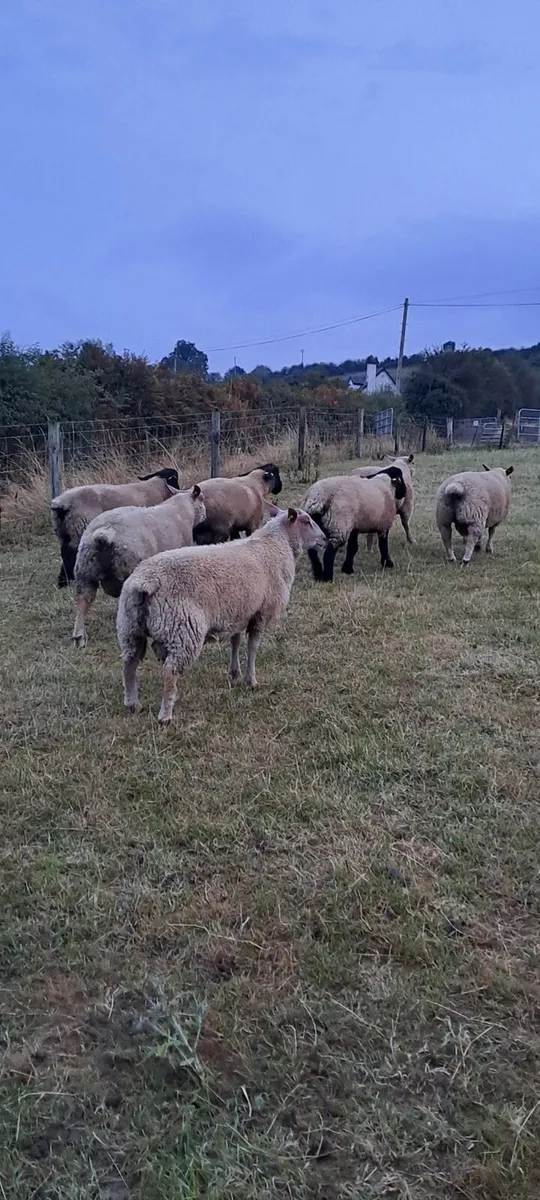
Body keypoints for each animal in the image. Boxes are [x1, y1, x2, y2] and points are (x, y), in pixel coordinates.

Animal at [51, 467, 180, 588]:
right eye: (175, 479)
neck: (157, 487)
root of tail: (61, 505)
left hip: (64, 532)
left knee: (64, 551)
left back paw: (63, 581)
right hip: (79, 527)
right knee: (71, 552)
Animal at [72, 485, 206, 647]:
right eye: (202, 499)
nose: (205, 515)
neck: (183, 510)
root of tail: (104, 534)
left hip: (85, 571)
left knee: (83, 600)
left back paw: (79, 637)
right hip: (128, 570)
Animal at [116, 502, 326, 724]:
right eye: (306, 521)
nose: (324, 539)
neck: (276, 546)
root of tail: (146, 582)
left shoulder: (239, 612)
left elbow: (236, 642)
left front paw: (234, 674)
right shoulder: (261, 613)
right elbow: (253, 647)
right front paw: (251, 680)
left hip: (130, 627)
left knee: (129, 663)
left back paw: (132, 704)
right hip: (183, 630)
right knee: (170, 671)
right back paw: (165, 714)